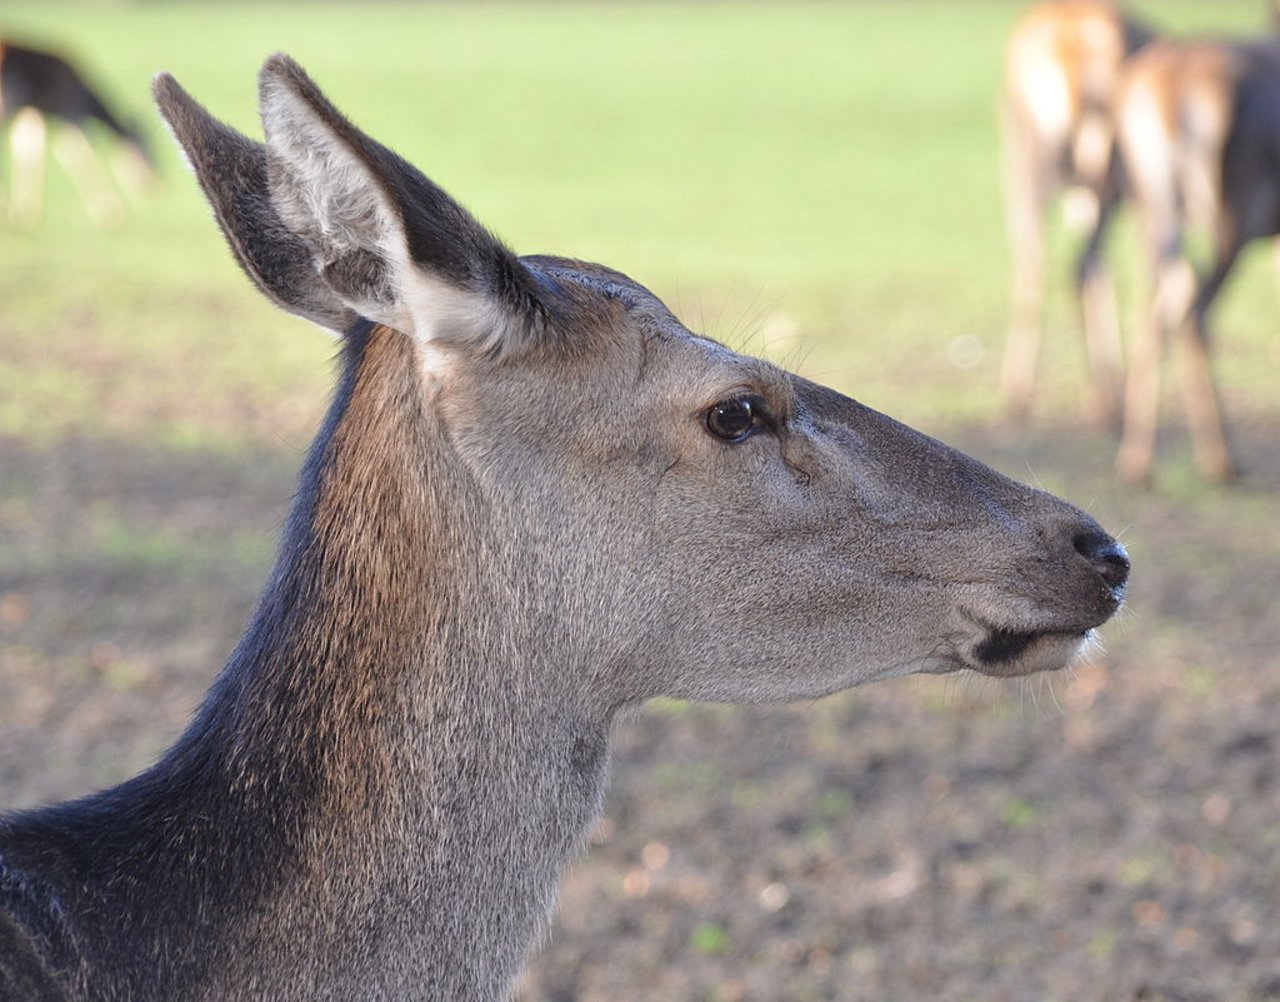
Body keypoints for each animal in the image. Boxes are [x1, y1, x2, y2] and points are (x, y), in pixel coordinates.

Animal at [0, 36, 153, 225]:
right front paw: (109, 210)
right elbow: (77, 152)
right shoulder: (71, 110)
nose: (153, 183)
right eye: (142, 147)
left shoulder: (34, 113)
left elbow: (30, 148)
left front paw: (27, 212)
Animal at [998, 0, 1162, 427]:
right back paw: (1109, 401)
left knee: (1038, 257)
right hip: (1103, 171)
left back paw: (1017, 396)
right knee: (1086, 263)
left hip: (1034, 160)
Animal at [1111, 40, 1280, 488]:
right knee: (1193, 309)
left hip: (1153, 209)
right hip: (1233, 213)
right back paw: (1220, 459)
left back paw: (1137, 460)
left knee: (1157, 311)